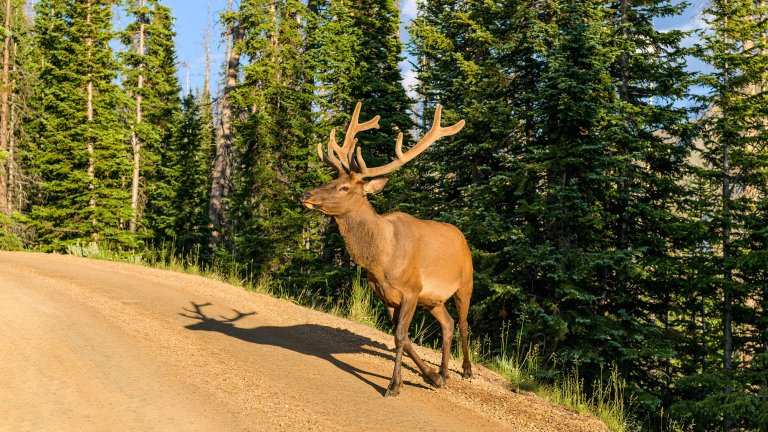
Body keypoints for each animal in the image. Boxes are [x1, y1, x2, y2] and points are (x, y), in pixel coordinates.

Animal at [300, 102, 473, 397]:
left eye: (344, 187)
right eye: (331, 178)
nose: (305, 195)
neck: (380, 257)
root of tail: (461, 236)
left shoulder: (412, 290)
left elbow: (401, 336)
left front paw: (393, 385)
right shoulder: (387, 296)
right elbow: (401, 337)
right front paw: (429, 377)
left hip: (465, 284)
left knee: (463, 323)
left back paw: (467, 370)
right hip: (433, 300)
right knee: (448, 323)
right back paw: (443, 373)